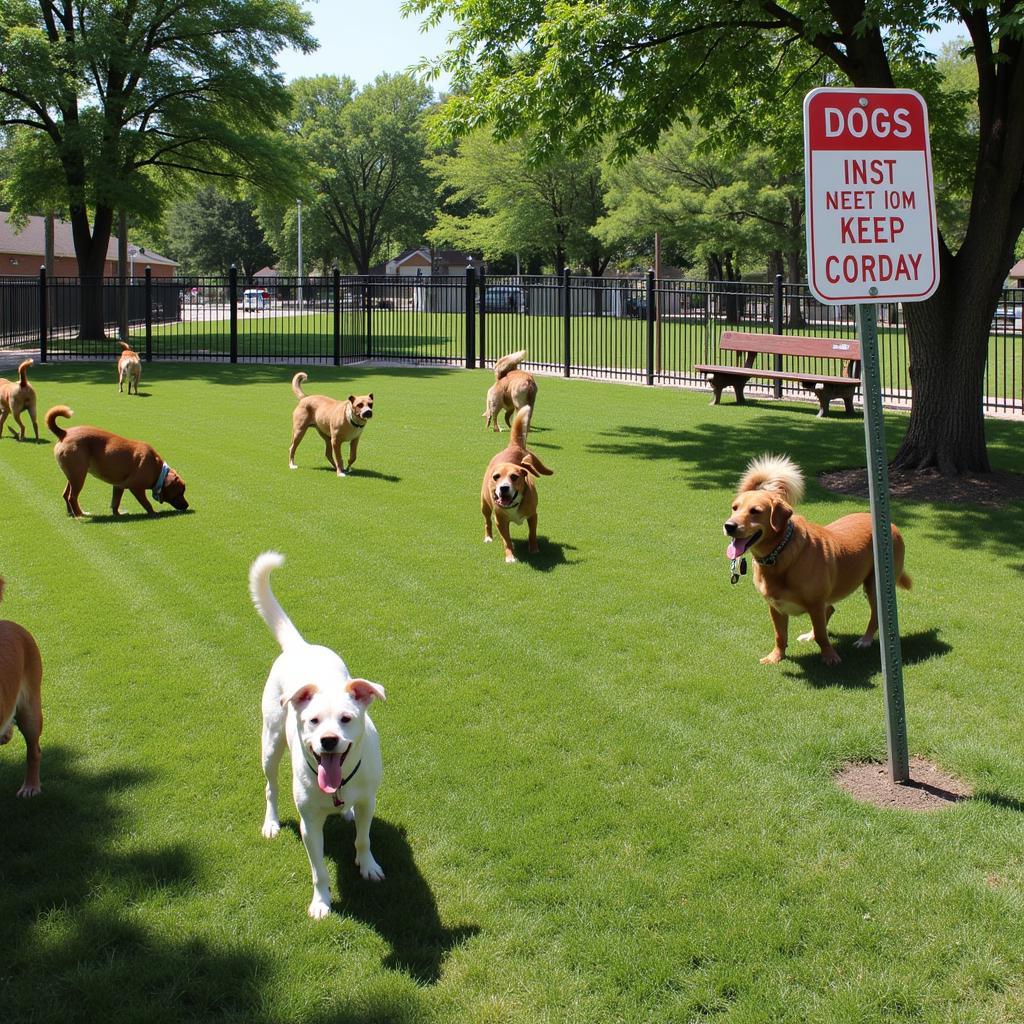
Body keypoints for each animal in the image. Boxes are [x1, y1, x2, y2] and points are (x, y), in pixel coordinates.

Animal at [44, 405, 190, 520]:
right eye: (180, 492)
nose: (187, 505)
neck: (158, 470)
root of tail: (64, 433)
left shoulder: (119, 486)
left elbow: (115, 503)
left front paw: (117, 514)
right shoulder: (136, 488)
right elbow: (147, 503)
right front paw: (153, 513)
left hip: (74, 475)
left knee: (65, 494)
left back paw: (72, 514)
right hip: (79, 476)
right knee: (72, 497)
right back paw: (80, 515)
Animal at [249, 552, 385, 921]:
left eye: (346, 719)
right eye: (312, 721)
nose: (328, 741)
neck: (337, 786)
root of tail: (301, 647)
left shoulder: (368, 800)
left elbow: (364, 838)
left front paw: (367, 865)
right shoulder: (309, 823)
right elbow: (319, 870)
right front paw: (322, 902)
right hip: (270, 743)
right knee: (270, 787)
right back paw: (271, 822)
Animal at [479, 403, 552, 565]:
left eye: (514, 476)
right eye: (496, 477)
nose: (504, 488)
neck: (513, 504)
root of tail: (514, 446)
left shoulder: (533, 515)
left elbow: (532, 533)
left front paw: (534, 549)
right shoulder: (500, 521)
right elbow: (506, 539)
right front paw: (510, 556)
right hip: (484, 505)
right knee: (487, 521)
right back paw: (488, 537)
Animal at [720, 454, 913, 663]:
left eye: (755, 511)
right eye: (734, 508)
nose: (728, 526)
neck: (778, 554)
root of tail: (892, 525)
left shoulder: (815, 603)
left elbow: (822, 634)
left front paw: (829, 656)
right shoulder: (776, 607)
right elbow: (780, 635)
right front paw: (776, 657)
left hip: (874, 585)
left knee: (875, 615)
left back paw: (865, 640)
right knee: (829, 611)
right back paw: (810, 635)